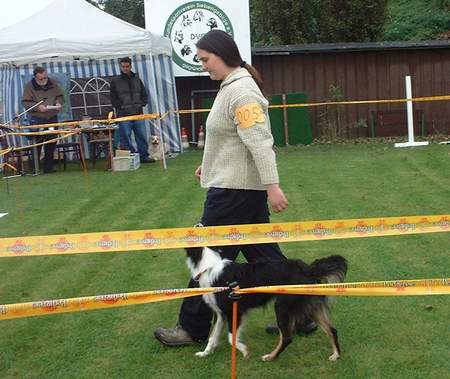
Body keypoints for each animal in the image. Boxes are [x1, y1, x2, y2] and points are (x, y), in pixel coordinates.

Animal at [185, 246, 346, 362]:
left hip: (282, 306)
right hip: (310, 306)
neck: (209, 267)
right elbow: (213, 336)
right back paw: (336, 355)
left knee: (287, 338)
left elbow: (232, 338)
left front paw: (244, 351)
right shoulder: (220, 314)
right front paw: (205, 353)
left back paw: (271, 356)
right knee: (332, 330)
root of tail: (308, 269)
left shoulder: (234, 311)